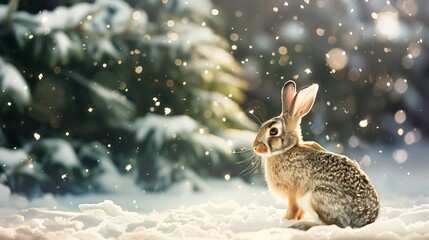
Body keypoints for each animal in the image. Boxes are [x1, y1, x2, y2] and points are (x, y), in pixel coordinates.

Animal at [251, 81, 378, 231]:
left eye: (273, 131)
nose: (255, 146)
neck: (286, 150)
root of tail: (364, 221)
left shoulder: (293, 194)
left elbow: (292, 210)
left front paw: (285, 222)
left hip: (318, 196)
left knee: (337, 225)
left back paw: (303, 225)